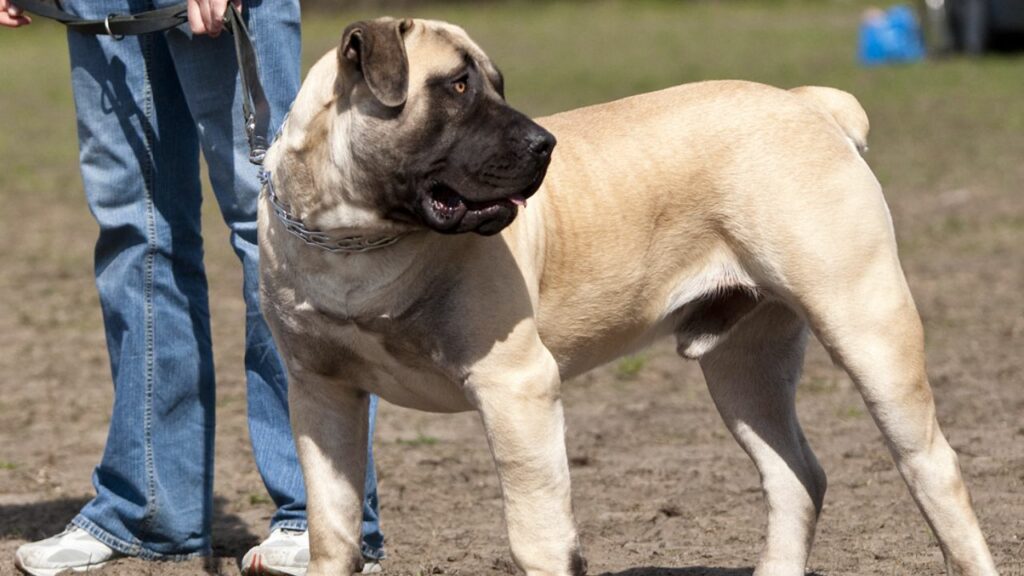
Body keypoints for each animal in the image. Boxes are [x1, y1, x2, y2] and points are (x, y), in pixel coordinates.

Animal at [258, 16, 999, 573]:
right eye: (458, 86)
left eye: (496, 85)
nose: (544, 143)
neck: (357, 239)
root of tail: (807, 102)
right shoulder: (323, 396)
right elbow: (332, 532)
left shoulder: (516, 388)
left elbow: (537, 535)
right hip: (745, 368)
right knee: (795, 477)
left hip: (867, 327)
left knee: (932, 466)